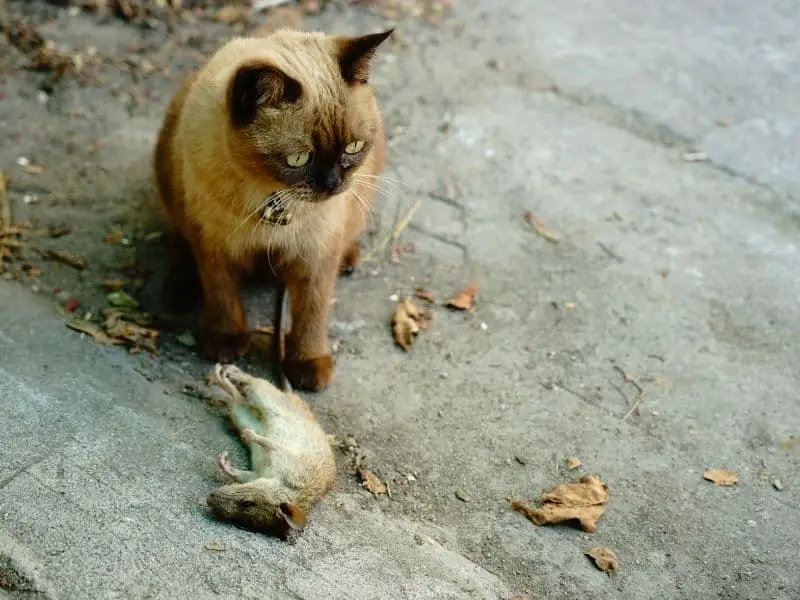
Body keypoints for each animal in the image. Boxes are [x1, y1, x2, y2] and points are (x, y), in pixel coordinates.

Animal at [153, 28, 394, 392]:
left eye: (353, 147)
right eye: (298, 159)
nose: (332, 183)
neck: (273, 200)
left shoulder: (316, 255)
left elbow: (312, 312)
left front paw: (308, 365)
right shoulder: (213, 245)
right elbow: (222, 293)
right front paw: (225, 342)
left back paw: (349, 258)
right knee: (181, 243)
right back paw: (179, 291)